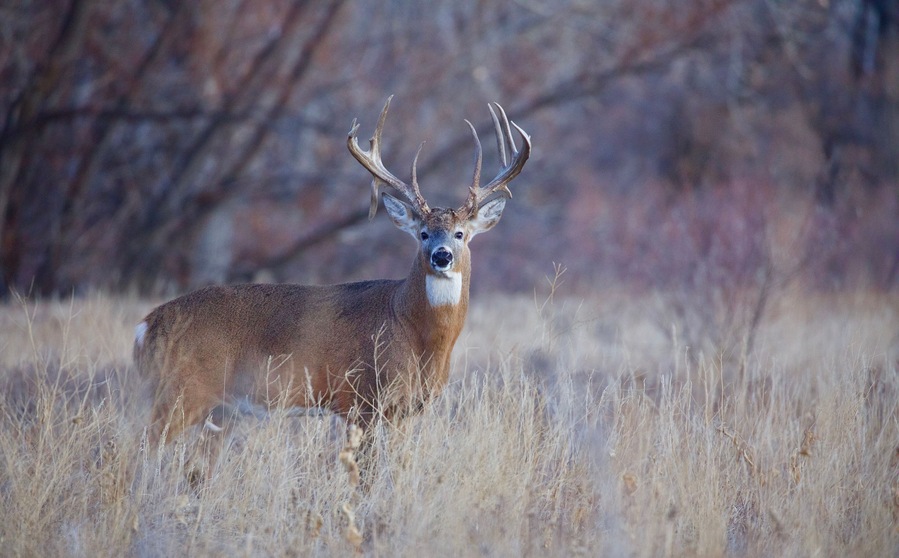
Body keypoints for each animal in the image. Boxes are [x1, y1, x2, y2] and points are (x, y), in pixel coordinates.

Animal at [133, 97, 531, 446]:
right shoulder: (361, 398)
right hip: (184, 390)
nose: (442, 256)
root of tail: (146, 326)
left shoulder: (405, 410)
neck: (413, 329)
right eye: (423, 233)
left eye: (460, 233)